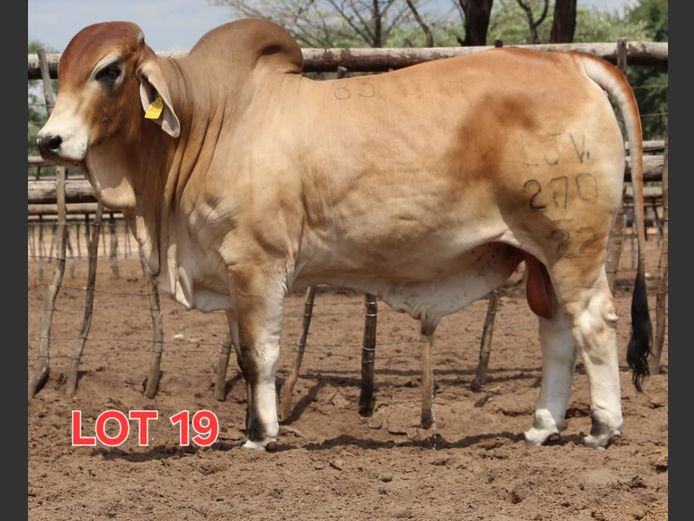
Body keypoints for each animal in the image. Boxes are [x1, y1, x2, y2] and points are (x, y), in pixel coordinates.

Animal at [37, 19, 651, 451]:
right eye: (61, 72)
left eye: (109, 70)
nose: (49, 140)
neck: (207, 122)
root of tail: (567, 60)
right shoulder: (231, 273)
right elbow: (243, 355)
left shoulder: (257, 262)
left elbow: (258, 356)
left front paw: (260, 436)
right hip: (540, 258)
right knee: (557, 333)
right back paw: (543, 427)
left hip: (572, 246)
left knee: (594, 324)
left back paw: (602, 428)